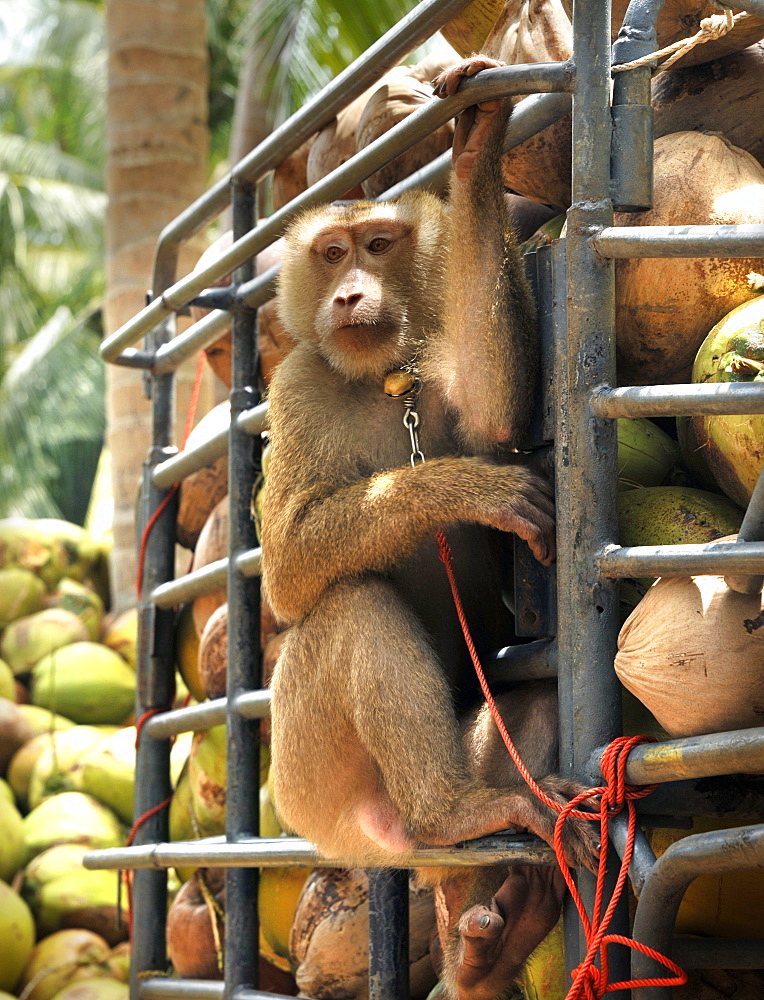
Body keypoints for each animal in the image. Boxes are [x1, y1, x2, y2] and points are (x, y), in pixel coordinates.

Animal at [262, 56, 596, 1000]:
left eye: (379, 245)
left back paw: (486, 940)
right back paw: (452, 814)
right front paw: (455, 488)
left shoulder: (436, 360)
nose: (349, 291)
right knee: (350, 604)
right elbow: (289, 570)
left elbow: (493, 410)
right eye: (331, 251)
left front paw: (475, 143)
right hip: (308, 790)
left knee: (529, 703)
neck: (380, 380)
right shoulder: (295, 384)